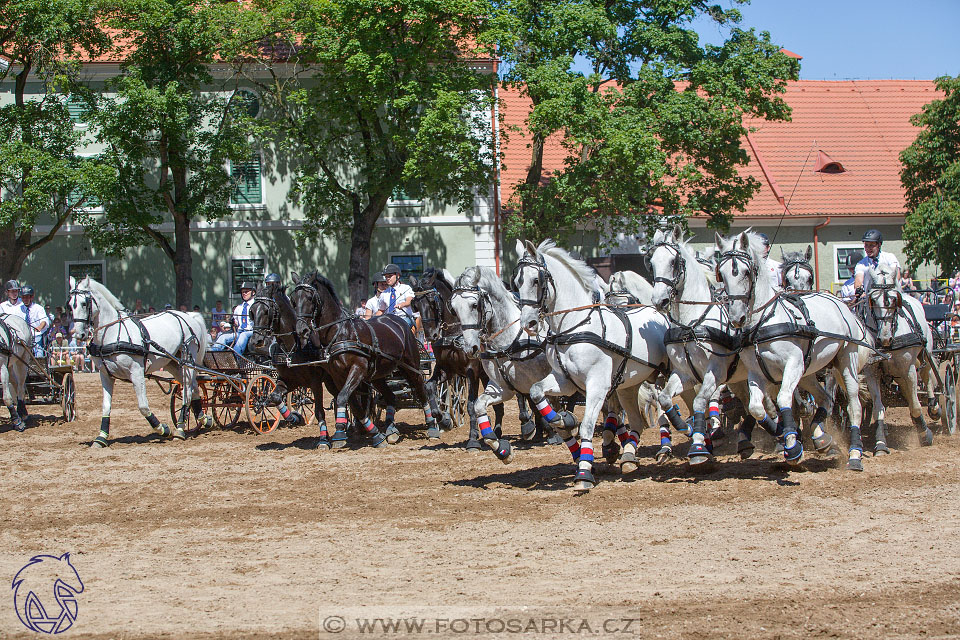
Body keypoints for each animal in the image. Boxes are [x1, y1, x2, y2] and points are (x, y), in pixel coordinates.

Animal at [67, 278, 210, 448]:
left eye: (84, 303)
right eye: (70, 305)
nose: (79, 334)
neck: (113, 333)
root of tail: (189, 315)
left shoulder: (136, 372)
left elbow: (143, 406)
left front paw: (163, 429)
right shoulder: (105, 375)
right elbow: (106, 407)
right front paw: (101, 438)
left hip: (187, 360)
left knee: (187, 391)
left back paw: (180, 429)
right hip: (172, 363)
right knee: (193, 386)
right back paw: (204, 419)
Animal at [284, 270, 436, 444]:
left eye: (310, 298)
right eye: (293, 301)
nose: (301, 330)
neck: (341, 332)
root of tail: (399, 321)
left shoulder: (358, 369)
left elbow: (343, 397)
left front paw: (340, 432)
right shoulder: (338, 376)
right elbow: (352, 403)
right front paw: (375, 434)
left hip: (411, 366)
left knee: (421, 390)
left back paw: (432, 425)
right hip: (377, 375)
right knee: (391, 397)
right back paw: (391, 430)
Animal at [516, 239, 668, 490]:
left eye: (536, 280)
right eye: (517, 282)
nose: (528, 323)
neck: (575, 327)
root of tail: (658, 313)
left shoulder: (597, 384)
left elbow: (587, 425)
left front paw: (584, 473)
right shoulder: (564, 381)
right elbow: (537, 391)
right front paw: (561, 420)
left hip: (664, 376)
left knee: (667, 407)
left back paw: (675, 448)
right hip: (629, 386)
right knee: (637, 420)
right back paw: (629, 457)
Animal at [716, 230, 872, 470]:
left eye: (745, 272)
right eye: (721, 274)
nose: (736, 318)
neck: (765, 320)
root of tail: (843, 305)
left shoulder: (793, 365)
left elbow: (783, 400)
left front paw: (792, 446)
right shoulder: (757, 373)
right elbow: (756, 407)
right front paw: (784, 435)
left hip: (847, 361)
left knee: (854, 405)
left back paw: (854, 454)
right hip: (809, 371)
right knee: (826, 399)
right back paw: (821, 438)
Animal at [864, 264, 936, 450]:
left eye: (894, 300)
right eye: (872, 300)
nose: (884, 338)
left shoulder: (908, 369)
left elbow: (916, 406)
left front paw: (925, 434)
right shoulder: (871, 372)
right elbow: (878, 408)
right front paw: (881, 442)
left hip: (925, 355)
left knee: (927, 377)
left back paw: (934, 407)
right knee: (908, 391)